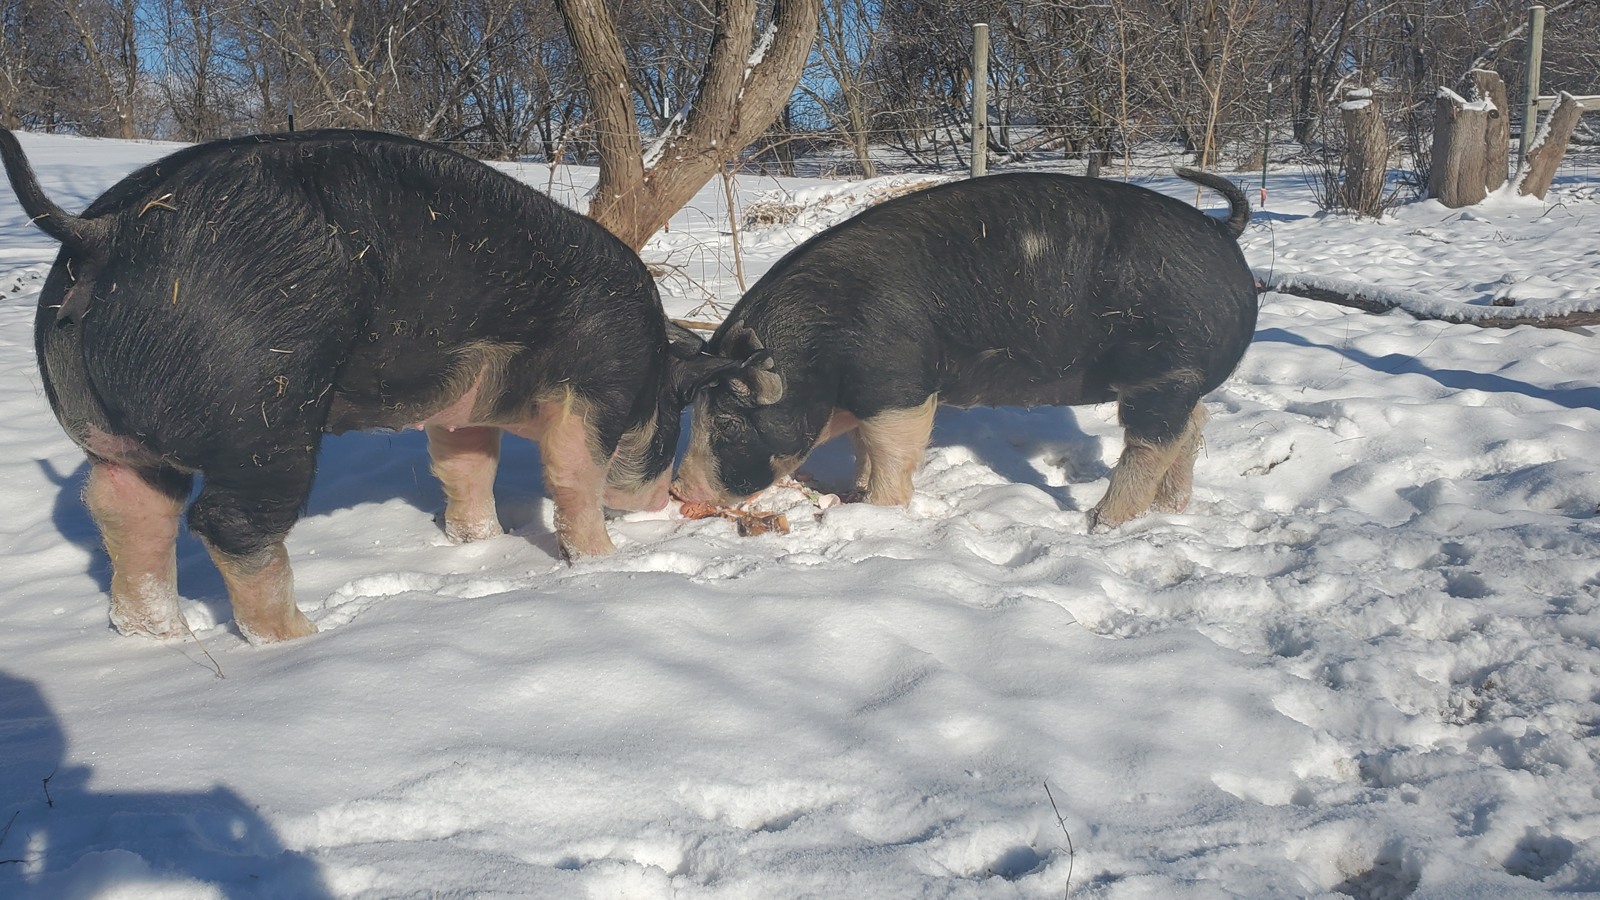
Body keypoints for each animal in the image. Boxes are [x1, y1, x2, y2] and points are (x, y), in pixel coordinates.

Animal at [0, 128, 739, 643]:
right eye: (675, 409)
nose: (670, 500)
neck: (648, 355)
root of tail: (101, 229)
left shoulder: (464, 403)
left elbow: (467, 466)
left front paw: (483, 545)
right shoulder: (595, 390)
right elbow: (574, 476)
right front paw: (600, 563)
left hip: (113, 434)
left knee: (125, 508)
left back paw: (158, 639)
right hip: (264, 414)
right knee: (230, 523)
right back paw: (300, 640)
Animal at [672, 169, 1257, 530]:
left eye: (728, 423)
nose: (678, 490)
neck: (820, 352)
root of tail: (1221, 230)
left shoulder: (899, 383)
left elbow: (892, 450)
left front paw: (877, 510)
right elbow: (863, 447)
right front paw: (853, 495)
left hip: (1166, 372)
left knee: (1151, 442)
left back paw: (1100, 524)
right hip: (1179, 382)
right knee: (1193, 427)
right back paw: (1171, 510)